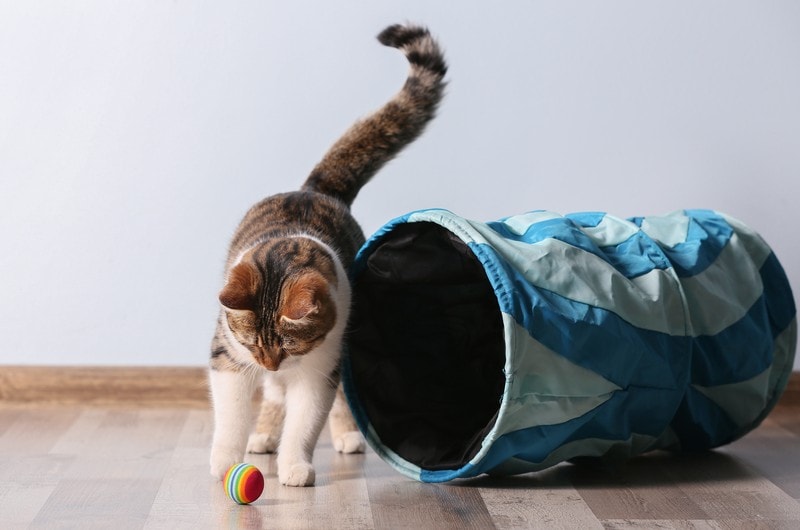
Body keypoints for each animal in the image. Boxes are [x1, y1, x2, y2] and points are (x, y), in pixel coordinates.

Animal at [209, 25, 446, 486]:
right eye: (252, 342)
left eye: (288, 345)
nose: (270, 363)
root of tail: (314, 189)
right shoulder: (229, 355)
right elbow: (230, 414)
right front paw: (226, 462)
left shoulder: (320, 365)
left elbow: (307, 418)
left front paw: (295, 466)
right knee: (273, 396)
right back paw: (263, 435)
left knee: (330, 398)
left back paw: (346, 437)